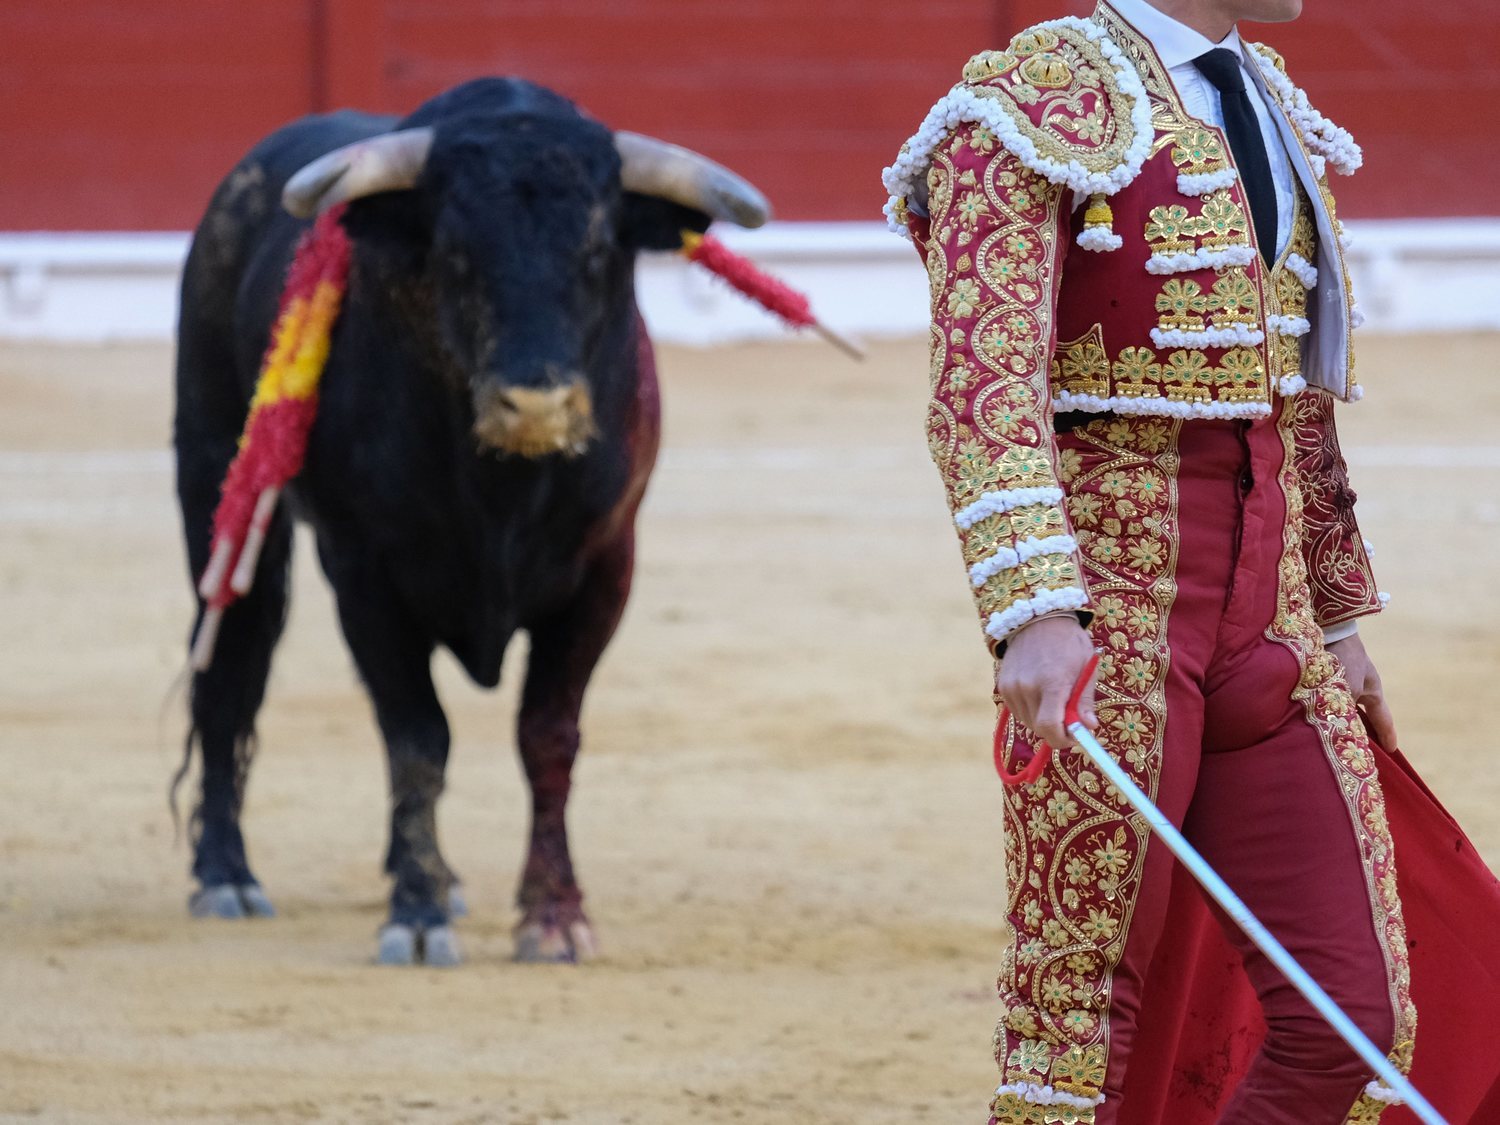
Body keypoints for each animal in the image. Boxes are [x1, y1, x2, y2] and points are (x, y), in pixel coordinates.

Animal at [175, 77, 774, 972]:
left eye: (597, 253)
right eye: (457, 256)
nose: (537, 406)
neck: (503, 488)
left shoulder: (606, 567)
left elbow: (546, 735)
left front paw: (554, 917)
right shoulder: (365, 574)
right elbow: (418, 736)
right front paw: (417, 917)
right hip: (216, 470)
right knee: (231, 658)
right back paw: (226, 875)